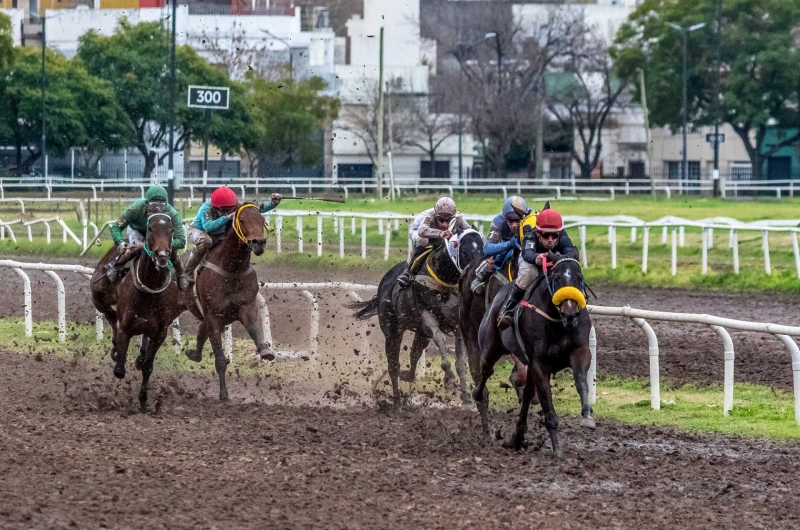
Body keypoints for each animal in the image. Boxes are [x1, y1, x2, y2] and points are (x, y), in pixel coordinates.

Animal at [90, 212, 180, 410]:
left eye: (171, 229)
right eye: (150, 228)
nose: (162, 255)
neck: (149, 288)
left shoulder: (160, 332)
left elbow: (147, 366)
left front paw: (143, 399)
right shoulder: (126, 327)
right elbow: (119, 369)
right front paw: (117, 352)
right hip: (98, 294)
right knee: (110, 315)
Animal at [179, 202, 272, 400]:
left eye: (262, 219)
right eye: (242, 220)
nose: (258, 243)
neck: (232, 269)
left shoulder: (245, 307)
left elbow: (254, 329)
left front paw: (265, 351)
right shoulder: (213, 315)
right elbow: (220, 359)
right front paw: (224, 394)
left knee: (201, 330)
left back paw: (194, 354)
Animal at [354, 222, 484, 400]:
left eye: (483, 248)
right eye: (464, 251)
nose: (476, 273)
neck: (445, 278)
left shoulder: (457, 322)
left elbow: (461, 362)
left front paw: (466, 398)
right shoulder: (425, 315)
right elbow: (440, 338)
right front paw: (449, 377)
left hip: (421, 334)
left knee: (414, 354)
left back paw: (407, 375)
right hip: (392, 330)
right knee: (393, 366)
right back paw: (397, 399)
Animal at [476, 256, 592, 454]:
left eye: (579, 277)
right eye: (556, 277)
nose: (570, 313)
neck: (558, 321)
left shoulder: (580, 351)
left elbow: (581, 381)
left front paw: (587, 415)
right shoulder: (540, 364)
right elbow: (547, 403)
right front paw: (557, 449)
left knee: (528, 393)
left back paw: (518, 437)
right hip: (491, 345)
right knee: (486, 371)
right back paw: (478, 395)